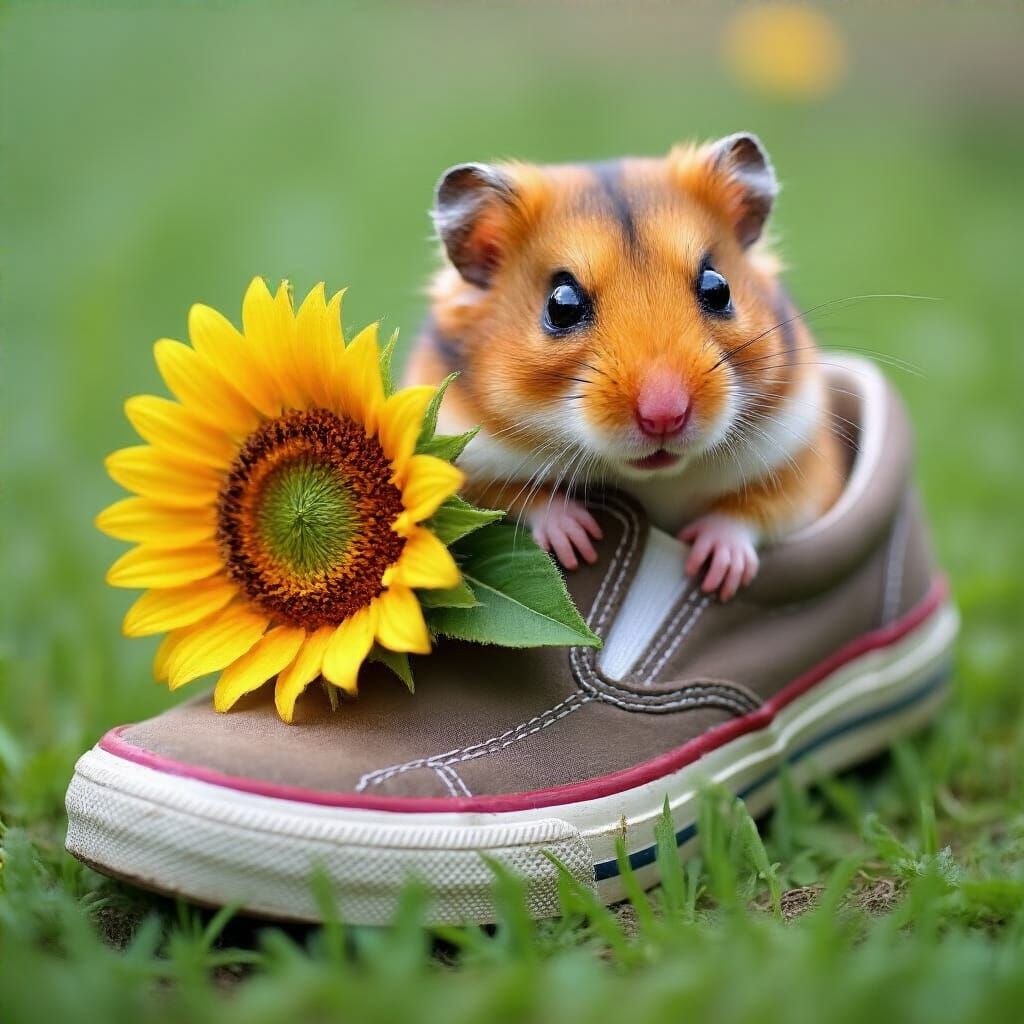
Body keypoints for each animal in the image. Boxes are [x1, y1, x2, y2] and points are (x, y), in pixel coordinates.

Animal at [404, 133, 844, 601]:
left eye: (718, 288)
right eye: (561, 305)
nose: (665, 416)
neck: (651, 479)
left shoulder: (806, 464)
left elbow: (756, 509)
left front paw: (713, 570)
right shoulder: (465, 462)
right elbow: (516, 497)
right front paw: (579, 541)